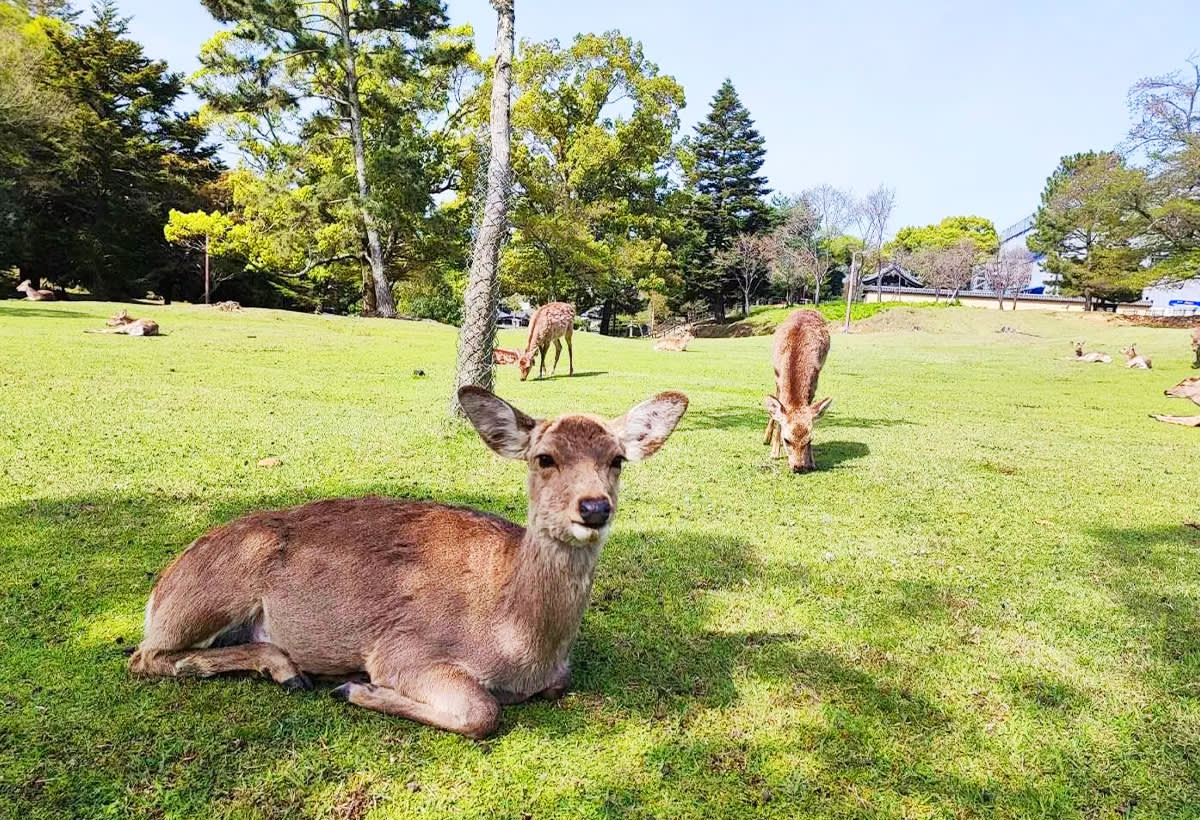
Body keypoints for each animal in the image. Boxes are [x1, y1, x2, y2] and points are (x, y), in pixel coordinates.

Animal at [128, 386, 688, 738]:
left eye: (617, 459)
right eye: (543, 457)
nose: (594, 507)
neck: (522, 643)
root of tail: (160, 588)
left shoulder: (556, 674)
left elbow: (554, 686)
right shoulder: (402, 649)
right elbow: (483, 712)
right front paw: (355, 688)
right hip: (210, 595)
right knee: (146, 657)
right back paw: (289, 671)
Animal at [763, 309, 833, 473]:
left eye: (810, 440)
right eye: (786, 440)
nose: (799, 466)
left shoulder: (814, 381)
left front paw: (812, 461)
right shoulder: (777, 375)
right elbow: (779, 412)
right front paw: (774, 452)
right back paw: (766, 438)